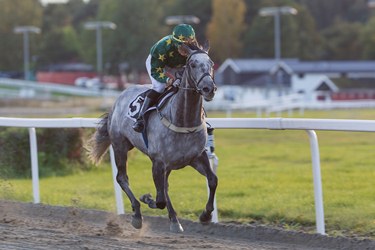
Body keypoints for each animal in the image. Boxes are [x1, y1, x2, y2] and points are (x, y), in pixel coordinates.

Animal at [88, 42, 217, 232]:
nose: (209, 89)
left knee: (165, 186)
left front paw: (206, 215)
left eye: (212, 63)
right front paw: (147, 199)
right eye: (193, 64)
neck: (182, 119)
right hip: (120, 145)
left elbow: (213, 180)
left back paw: (174, 220)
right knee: (122, 178)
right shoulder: (158, 162)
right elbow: (160, 199)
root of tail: (118, 98)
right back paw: (137, 214)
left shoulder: (196, 157)